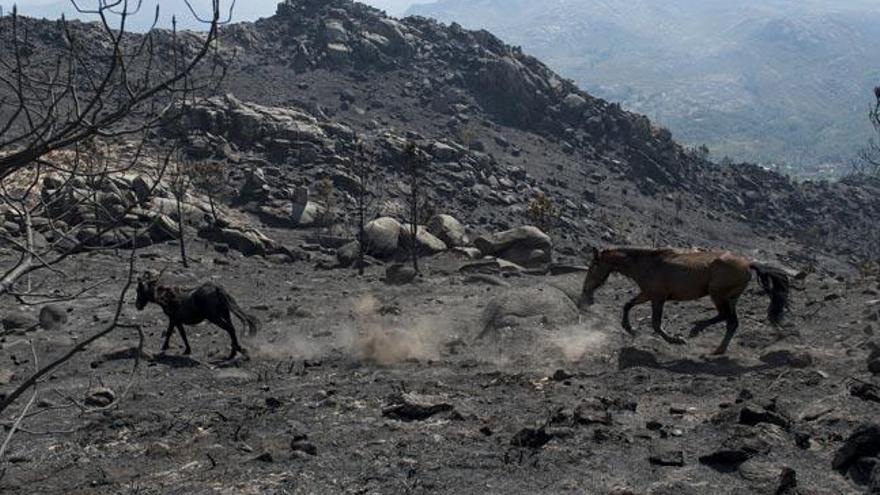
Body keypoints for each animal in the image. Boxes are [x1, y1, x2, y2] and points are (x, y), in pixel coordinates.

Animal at [576, 248, 792, 356]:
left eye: (592, 268)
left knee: (725, 317)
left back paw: (696, 330)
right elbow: (627, 305)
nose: (584, 295)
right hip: (732, 298)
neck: (647, 264)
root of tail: (748, 264)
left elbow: (656, 323)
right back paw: (718, 350)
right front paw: (630, 329)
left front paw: (675, 339)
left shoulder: (657, 297)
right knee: (732, 322)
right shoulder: (647, 294)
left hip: (718, 294)